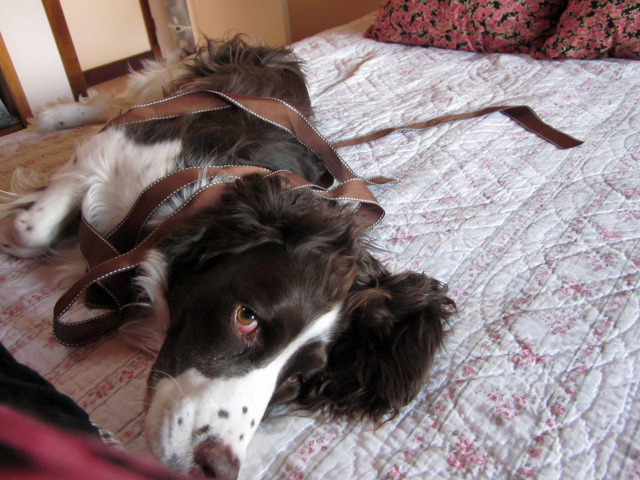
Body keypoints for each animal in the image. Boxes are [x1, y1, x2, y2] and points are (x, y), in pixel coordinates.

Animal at [0, 38, 452, 480]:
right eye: (246, 316)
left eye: (298, 378)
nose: (216, 466)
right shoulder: (116, 149)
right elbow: (30, 230)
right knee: (127, 94)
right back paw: (56, 116)